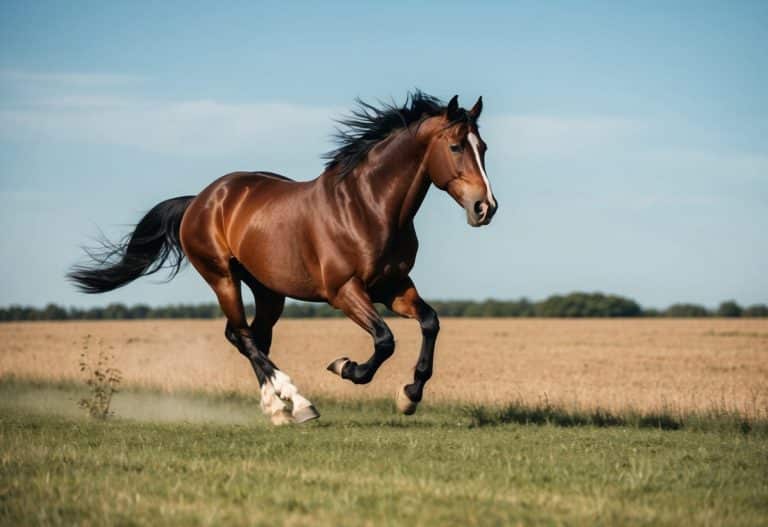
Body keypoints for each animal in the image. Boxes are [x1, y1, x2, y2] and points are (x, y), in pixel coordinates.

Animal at [68, 91, 498, 425]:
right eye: (456, 147)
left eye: (484, 148)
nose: (485, 207)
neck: (368, 208)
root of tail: (200, 200)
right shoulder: (344, 291)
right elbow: (384, 340)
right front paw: (345, 367)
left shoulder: (393, 286)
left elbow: (430, 322)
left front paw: (409, 396)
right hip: (222, 277)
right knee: (243, 335)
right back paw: (299, 404)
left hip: (268, 289)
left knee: (248, 336)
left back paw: (278, 408)